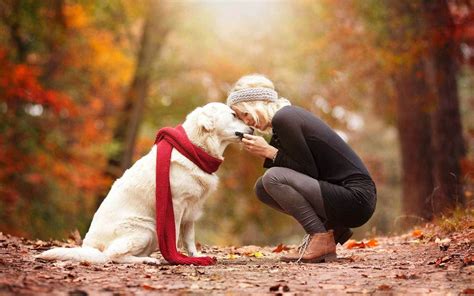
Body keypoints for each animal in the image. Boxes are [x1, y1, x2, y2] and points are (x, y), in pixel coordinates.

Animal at [38, 103, 252, 264]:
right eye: (234, 115)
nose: (252, 128)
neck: (195, 148)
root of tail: (90, 247)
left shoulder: (191, 210)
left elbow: (189, 238)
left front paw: (196, 256)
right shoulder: (176, 206)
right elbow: (174, 236)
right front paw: (177, 257)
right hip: (146, 229)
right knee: (112, 256)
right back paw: (147, 260)